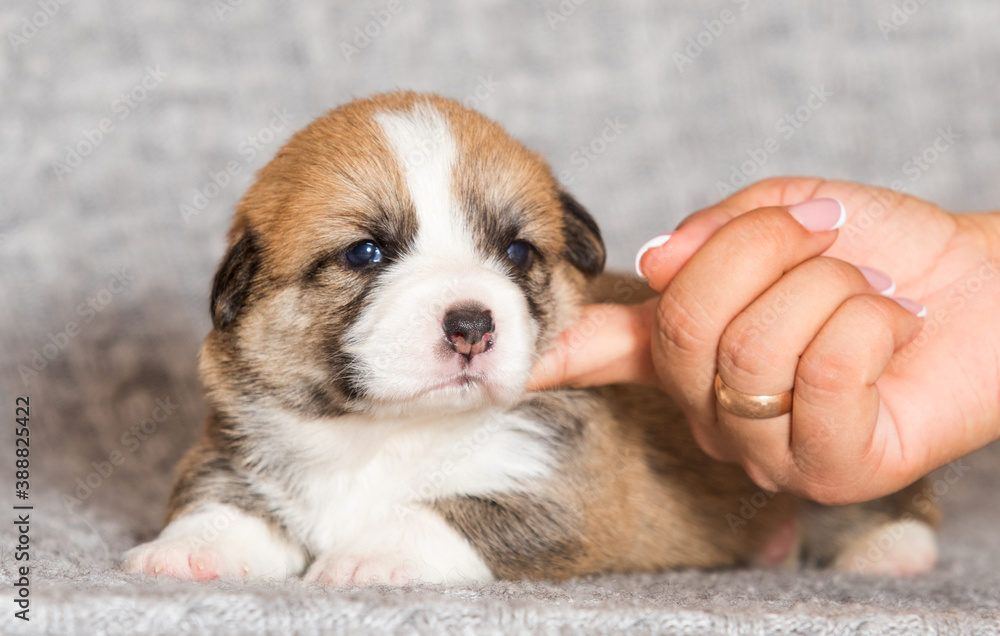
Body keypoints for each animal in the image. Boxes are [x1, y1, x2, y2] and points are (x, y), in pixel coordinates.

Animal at [123, 92, 936, 584]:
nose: (472, 326)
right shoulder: (236, 448)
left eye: (516, 252)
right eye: (366, 253)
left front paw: (368, 557)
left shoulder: (557, 489)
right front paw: (186, 551)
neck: (385, 432)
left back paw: (888, 548)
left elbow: (447, 512)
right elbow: (218, 499)